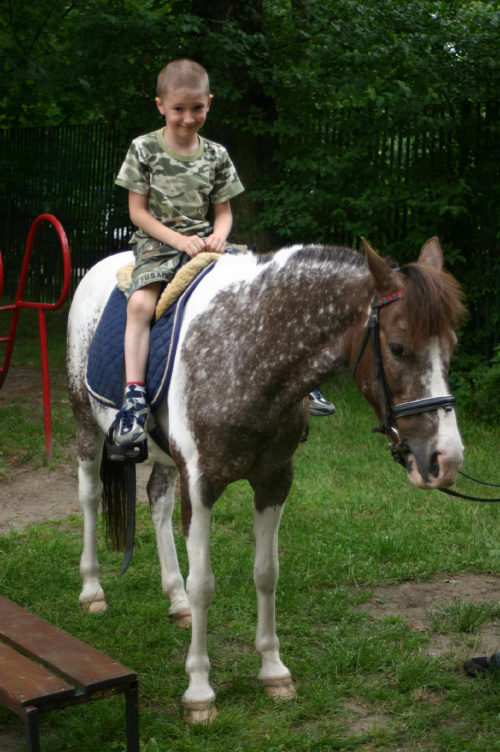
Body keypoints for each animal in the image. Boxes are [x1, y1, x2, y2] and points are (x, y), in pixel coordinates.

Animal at [66, 238, 464, 720]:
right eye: (400, 347)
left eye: (452, 347)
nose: (447, 458)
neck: (248, 353)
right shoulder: (200, 485)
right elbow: (204, 585)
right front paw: (199, 691)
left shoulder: (275, 480)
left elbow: (266, 573)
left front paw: (274, 671)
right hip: (85, 424)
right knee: (90, 496)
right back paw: (92, 590)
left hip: (166, 458)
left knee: (157, 500)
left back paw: (175, 600)